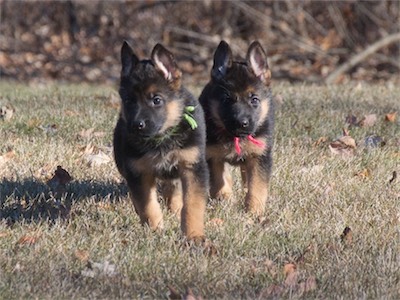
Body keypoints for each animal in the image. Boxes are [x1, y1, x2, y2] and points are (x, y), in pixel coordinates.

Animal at [111, 41, 208, 240]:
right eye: (128, 101)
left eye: (156, 100)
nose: (136, 125)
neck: (162, 139)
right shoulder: (138, 172)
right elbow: (147, 205)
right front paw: (154, 230)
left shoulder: (192, 166)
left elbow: (192, 205)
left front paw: (193, 235)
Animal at [198, 41, 274, 217]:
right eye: (226, 100)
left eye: (254, 99)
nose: (241, 122)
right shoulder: (213, 157)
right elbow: (220, 182)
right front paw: (224, 201)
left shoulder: (259, 157)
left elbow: (257, 187)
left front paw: (254, 211)